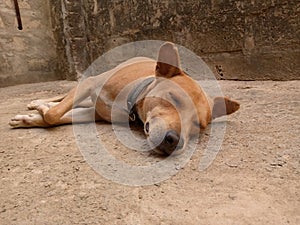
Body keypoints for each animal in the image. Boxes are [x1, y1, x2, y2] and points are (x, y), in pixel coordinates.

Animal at [8, 42, 239, 155]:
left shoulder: (93, 113)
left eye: (199, 125)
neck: (130, 104)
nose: (174, 141)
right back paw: (37, 102)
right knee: (61, 96)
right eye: (173, 98)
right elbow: (54, 114)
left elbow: (57, 116)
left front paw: (31, 119)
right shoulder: (88, 83)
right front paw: (39, 111)